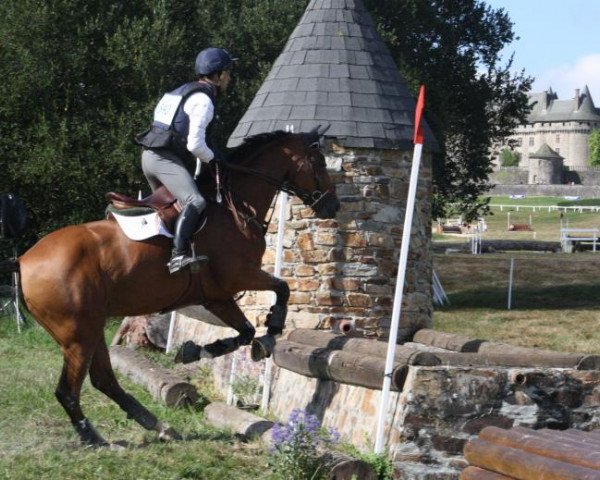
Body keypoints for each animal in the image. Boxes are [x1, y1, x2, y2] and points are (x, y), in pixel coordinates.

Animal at [0, 128, 340, 446]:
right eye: (320, 161)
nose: (333, 206)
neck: (234, 209)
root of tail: (25, 260)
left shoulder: (216, 296)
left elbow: (245, 331)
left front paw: (195, 351)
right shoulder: (239, 276)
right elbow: (281, 290)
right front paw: (270, 334)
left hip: (90, 328)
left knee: (104, 380)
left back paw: (157, 425)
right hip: (78, 334)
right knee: (69, 390)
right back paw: (95, 439)